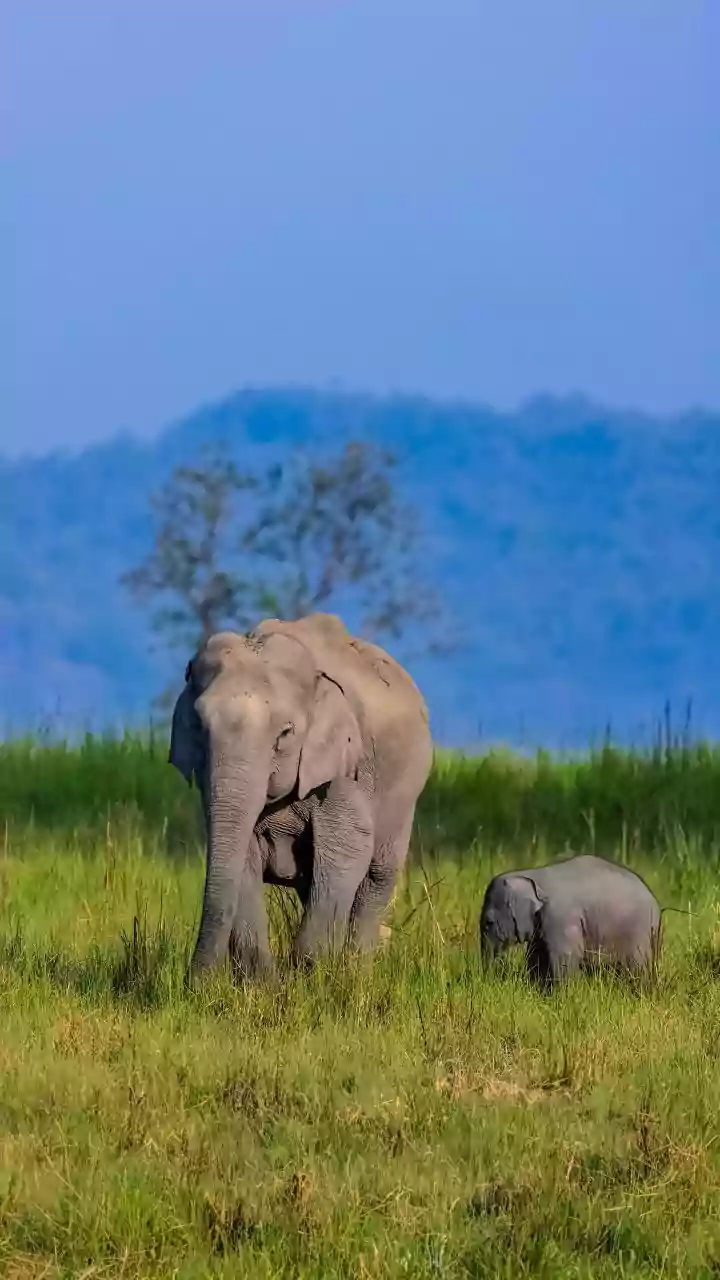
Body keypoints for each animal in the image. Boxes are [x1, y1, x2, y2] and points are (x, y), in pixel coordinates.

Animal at [169, 611, 433, 984]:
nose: (193, 984)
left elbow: (347, 848)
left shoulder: (343, 768)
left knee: (377, 875)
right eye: (199, 727)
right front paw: (262, 985)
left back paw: (356, 972)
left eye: (285, 733)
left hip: (406, 790)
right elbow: (243, 854)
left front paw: (309, 978)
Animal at [479, 853, 662, 989]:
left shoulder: (560, 917)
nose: (489, 981)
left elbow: (565, 958)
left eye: (489, 922)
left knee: (636, 967)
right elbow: (537, 956)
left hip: (639, 933)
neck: (532, 874)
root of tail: (656, 905)